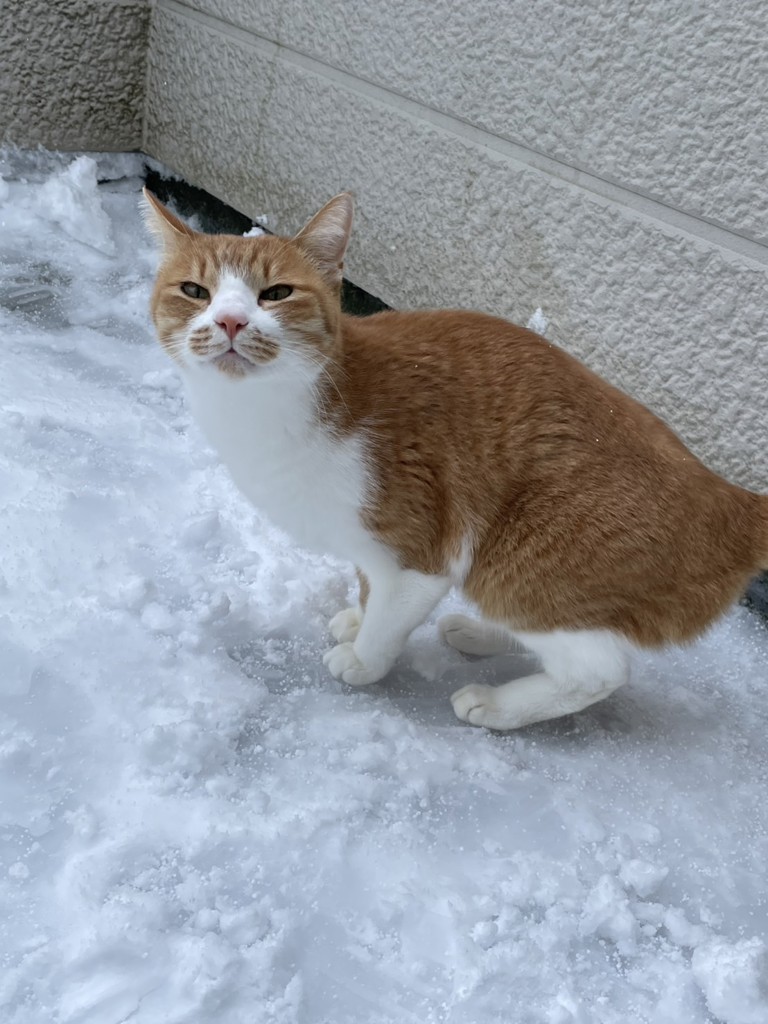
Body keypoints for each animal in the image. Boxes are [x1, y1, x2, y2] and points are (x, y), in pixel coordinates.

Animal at [143, 188, 768, 730]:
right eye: (195, 291)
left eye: (275, 294)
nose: (230, 321)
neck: (261, 415)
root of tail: (730, 498)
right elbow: (369, 585)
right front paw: (358, 615)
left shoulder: (423, 549)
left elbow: (391, 616)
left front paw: (364, 656)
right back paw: (478, 633)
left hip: (519, 558)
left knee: (598, 668)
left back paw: (497, 704)